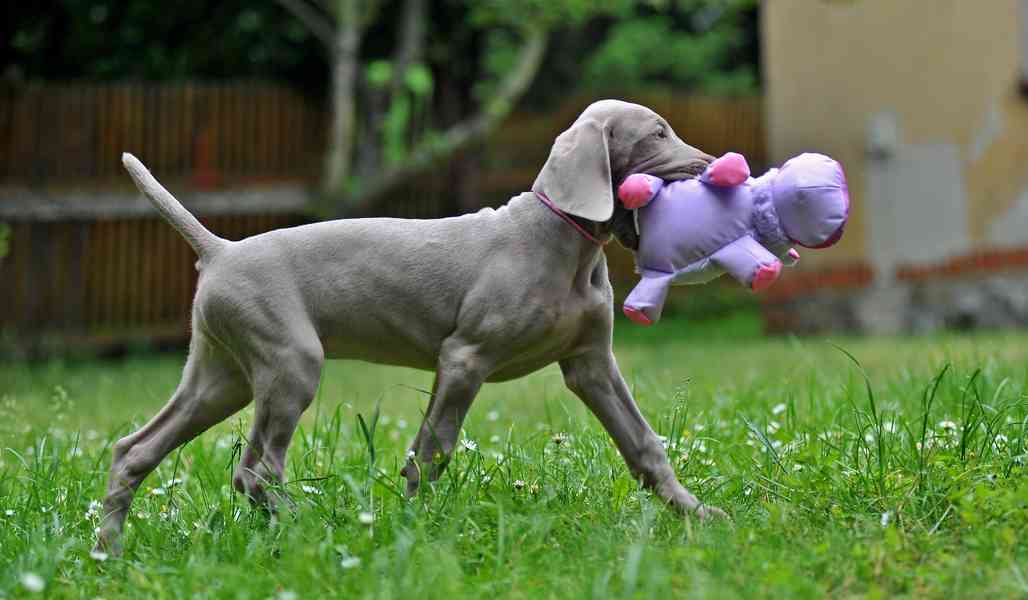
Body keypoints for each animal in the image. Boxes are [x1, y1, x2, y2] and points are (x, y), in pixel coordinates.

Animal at [96, 98, 723, 554]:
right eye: (658, 134)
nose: (713, 166)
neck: (565, 243)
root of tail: (219, 249)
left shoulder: (591, 363)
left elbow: (643, 443)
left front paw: (696, 515)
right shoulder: (464, 357)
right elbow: (433, 450)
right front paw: (416, 525)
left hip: (222, 375)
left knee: (136, 449)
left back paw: (110, 552)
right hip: (290, 362)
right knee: (256, 471)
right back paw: (308, 529)